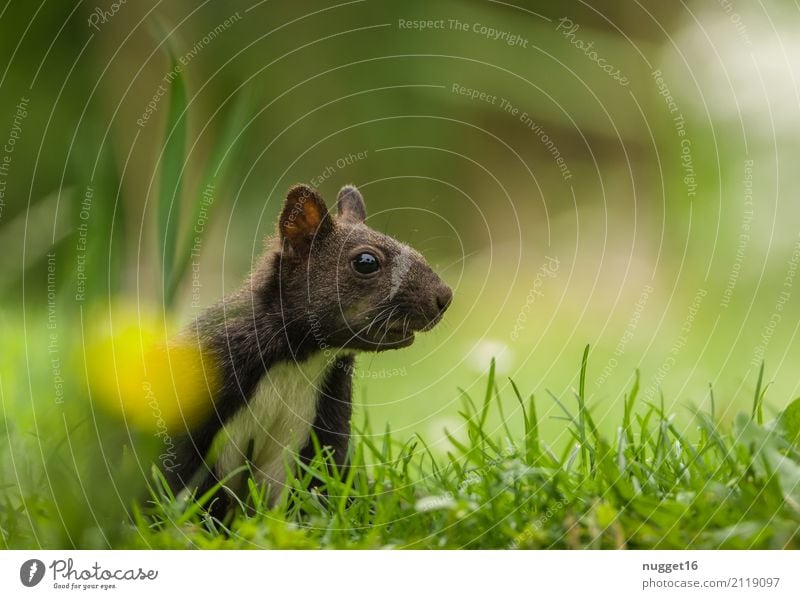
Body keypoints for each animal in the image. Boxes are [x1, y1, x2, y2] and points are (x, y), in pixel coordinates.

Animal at [166, 182, 454, 516]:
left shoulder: (319, 427)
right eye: (366, 262)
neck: (299, 357)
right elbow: (185, 480)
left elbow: (308, 490)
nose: (444, 297)